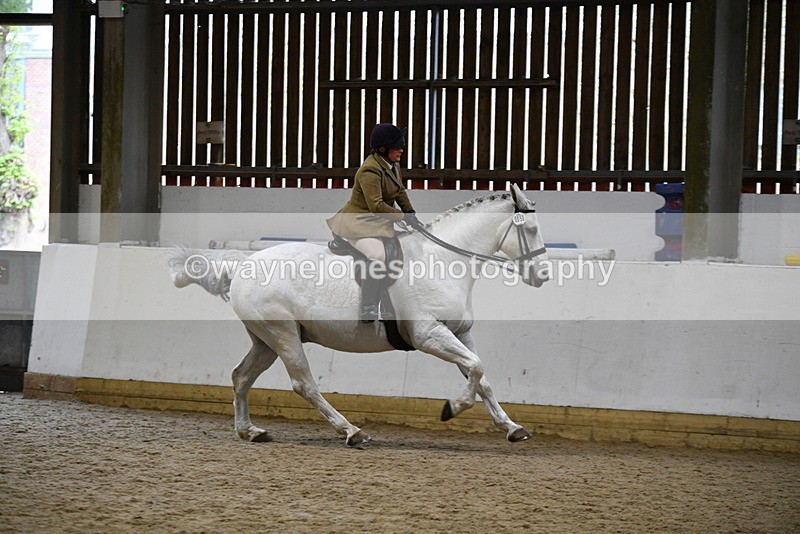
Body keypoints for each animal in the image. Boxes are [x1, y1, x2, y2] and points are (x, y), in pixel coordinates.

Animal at [169, 183, 550, 446]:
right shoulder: (429, 335)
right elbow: (476, 368)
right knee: (303, 383)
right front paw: (451, 408)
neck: (442, 261)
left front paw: (512, 428)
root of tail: (243, 265)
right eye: (530, 230)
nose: (542, 275)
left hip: (265, 339)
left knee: (241, 376)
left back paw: (250, 431)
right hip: (283, 334)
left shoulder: (458, 332)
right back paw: (352, 431)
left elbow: (480, 375)